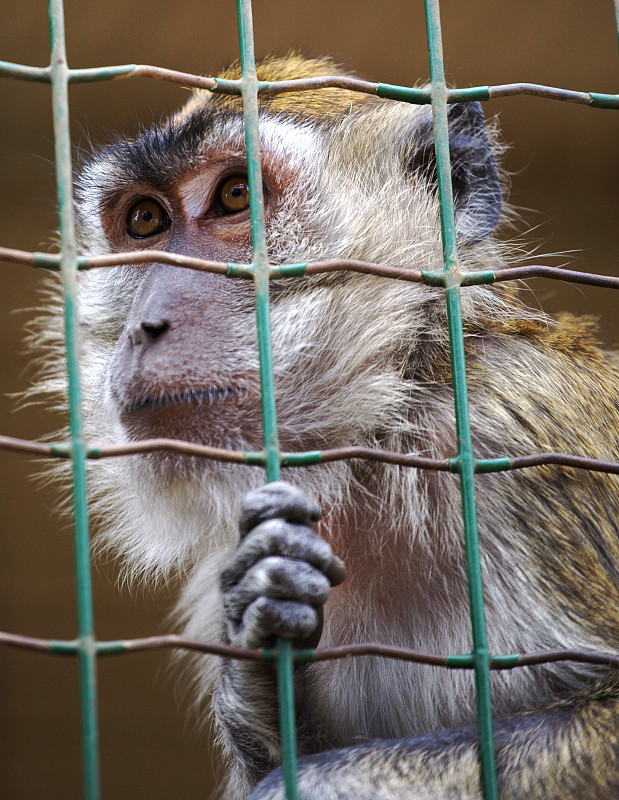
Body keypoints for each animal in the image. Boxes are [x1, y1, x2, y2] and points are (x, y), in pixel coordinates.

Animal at [35, 53, 619, 796]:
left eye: (234, 197)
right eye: (144, 220)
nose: (145, 325)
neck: (382, 430)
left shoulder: (518, 428)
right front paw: (257, 637)